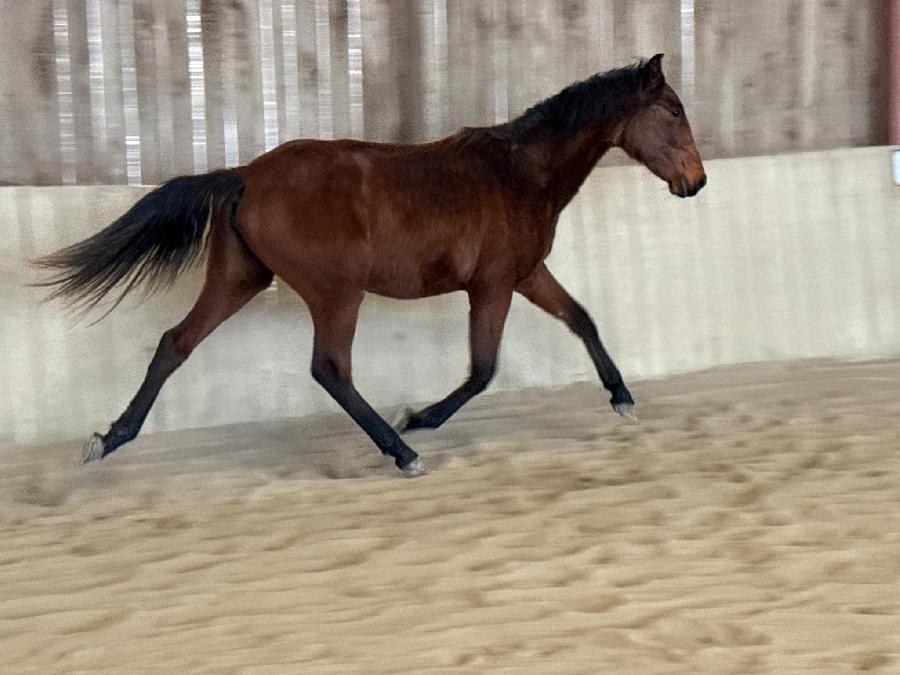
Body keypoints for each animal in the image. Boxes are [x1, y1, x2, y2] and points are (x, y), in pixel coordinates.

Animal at [34, 54, 706, 477]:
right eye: (674, 110)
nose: (696, 183)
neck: (521, 173)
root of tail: (244, 175)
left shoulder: (526, 275)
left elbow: (582, 320)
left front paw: (622, 397)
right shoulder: (491, 286)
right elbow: (483, 369)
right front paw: (422, 419)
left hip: (240, 278)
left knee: (175, 344)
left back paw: (108, 440)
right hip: (337, 292)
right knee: (330, 369)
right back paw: (401, 451)